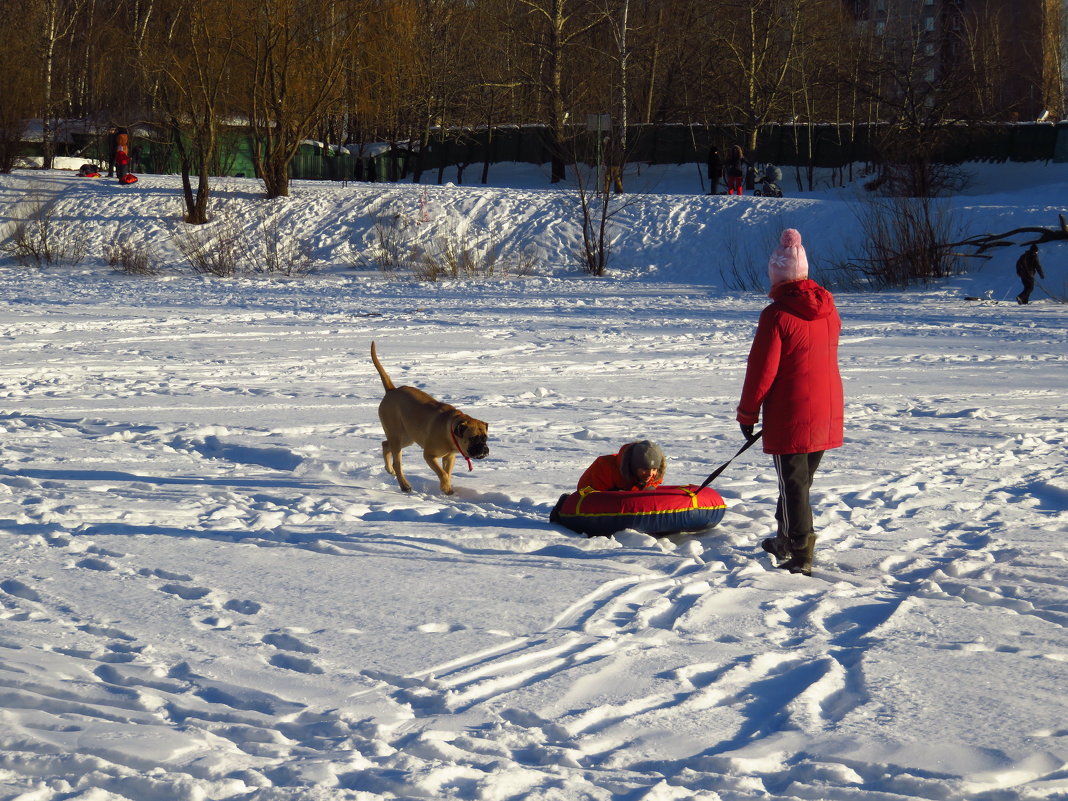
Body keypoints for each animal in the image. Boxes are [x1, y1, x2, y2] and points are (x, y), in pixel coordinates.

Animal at [373, 339, 489, 495]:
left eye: (485, 438)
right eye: (473, 438)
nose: (485, 450)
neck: (450, 428)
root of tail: (391, 390)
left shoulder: (449, 457)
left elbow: (447, 472)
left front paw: (447, 486)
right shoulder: (429, 455)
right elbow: (442, 473)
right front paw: (446, 487)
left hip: (407, 437)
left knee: (385, 444)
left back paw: (389, 469)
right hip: (397, 435)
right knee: (398, 463)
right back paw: (404, 485)